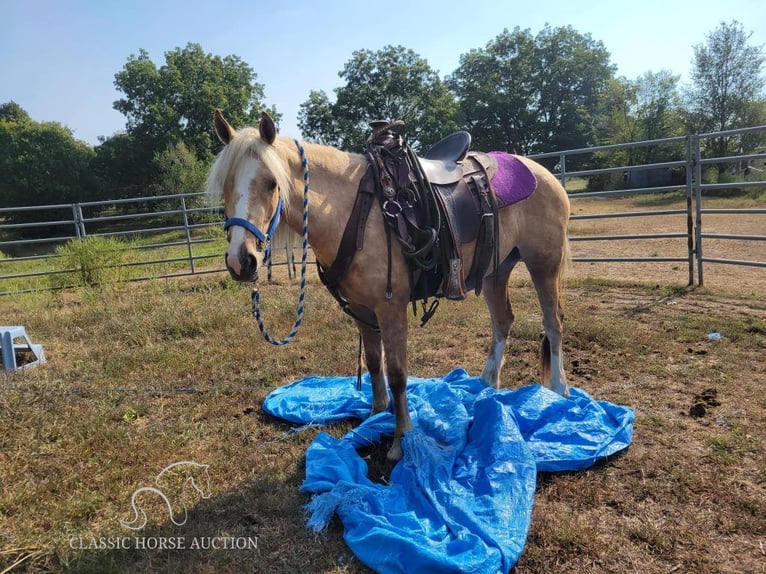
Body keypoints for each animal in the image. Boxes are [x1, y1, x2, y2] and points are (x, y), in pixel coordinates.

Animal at [207, 111, 572, 464]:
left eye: (272, 183)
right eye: (225, 185)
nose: (241, 261)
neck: (353, 210)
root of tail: (543, 172)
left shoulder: (391, 308)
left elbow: (397, 374)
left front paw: (400, 439)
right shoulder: (361, 309)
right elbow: (373, 363)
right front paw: (375, 416)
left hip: (544, 265)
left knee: (553, 323)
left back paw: (558, 392)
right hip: (496, 271)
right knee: (503, 321)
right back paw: (486, 385)